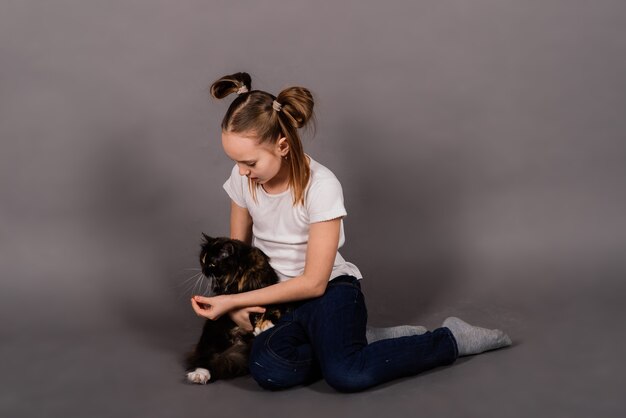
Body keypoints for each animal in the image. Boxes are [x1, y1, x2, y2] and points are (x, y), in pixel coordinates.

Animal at [182, 233, 286, 384]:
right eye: (202, 260)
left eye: (212, 264)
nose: (203, 270)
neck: (241, 274)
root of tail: (237, 342)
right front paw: (259, 325)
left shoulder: (268, 289)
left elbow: (272, 307)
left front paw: (265, 325)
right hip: (212, 329)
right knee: (205, 357)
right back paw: (199, 375)